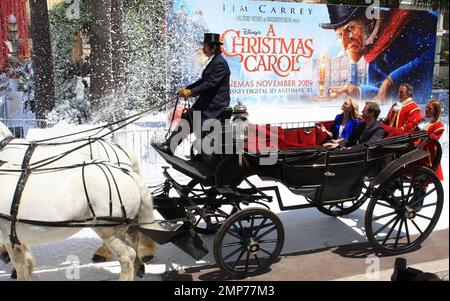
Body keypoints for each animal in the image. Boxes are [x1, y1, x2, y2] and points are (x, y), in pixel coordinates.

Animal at [0, 161, 161, 280]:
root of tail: (127, 173)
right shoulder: (13, 238)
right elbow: (21, 264)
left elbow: (19, 264)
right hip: (123, 226)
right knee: (133, 242)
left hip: (107, 230)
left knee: (127, 256)